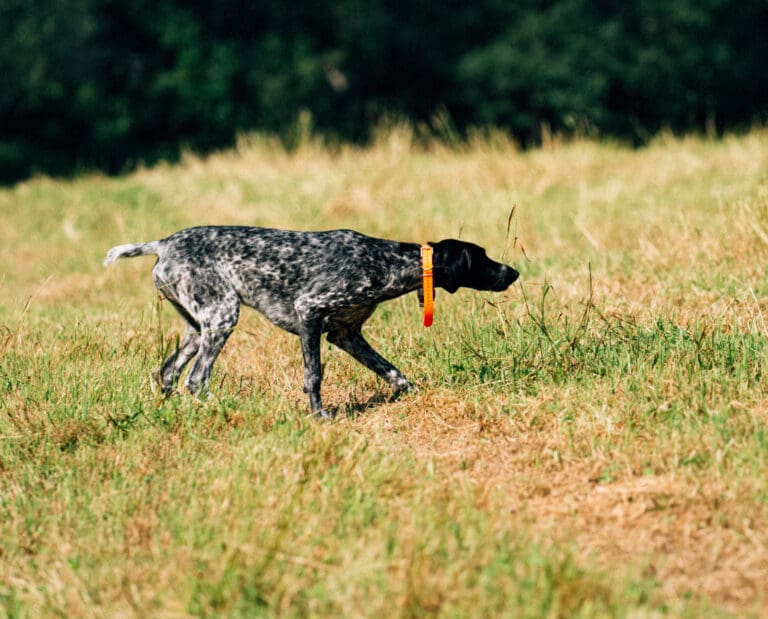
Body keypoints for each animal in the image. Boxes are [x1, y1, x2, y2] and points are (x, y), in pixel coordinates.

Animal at [105, 225, 520, 418]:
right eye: (482, 257)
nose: (514, 272)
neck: (386, 261)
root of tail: (163, 243)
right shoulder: (310, 313)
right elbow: (314, 376)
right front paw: (320, 416)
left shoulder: (346, 334)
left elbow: (393, 372)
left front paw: (415, 394)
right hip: (223, 316)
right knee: (196, 378)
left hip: (197, 326)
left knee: (168, 373)